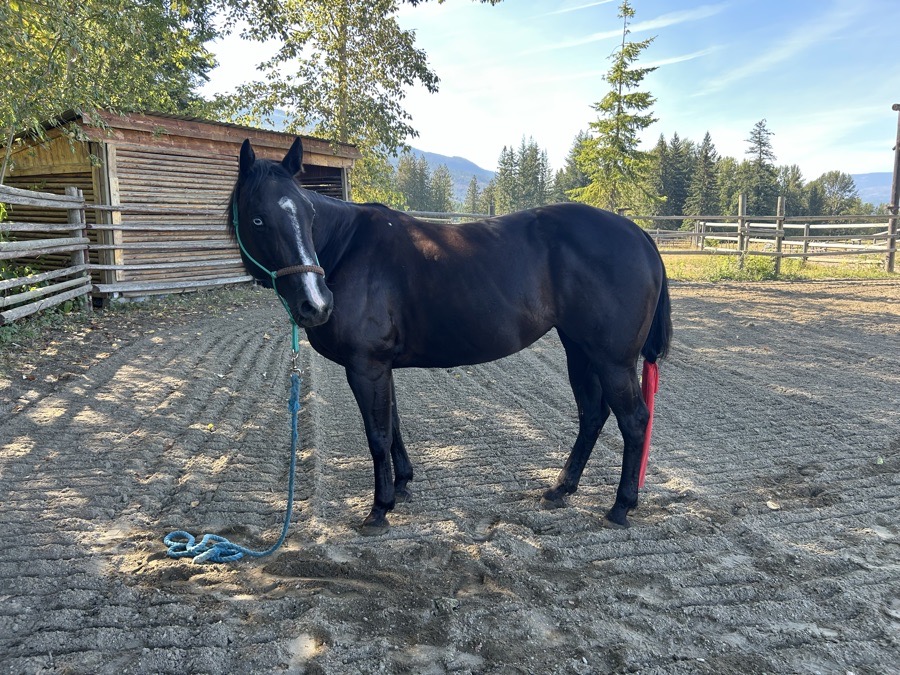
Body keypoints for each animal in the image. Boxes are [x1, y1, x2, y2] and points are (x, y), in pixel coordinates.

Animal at [227, 137, 672, 535]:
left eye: (308, 216)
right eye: (258, 219)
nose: (316, 304)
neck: (348, 248)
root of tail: (638, 234)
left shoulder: (366, 367)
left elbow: (377, 435)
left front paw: (379, 509)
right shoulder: (381, 367)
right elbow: (393, 425)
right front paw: (403, 484)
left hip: (612, 360)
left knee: (634, 420)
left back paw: (620, 506)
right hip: (579, 350)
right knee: (592, 415)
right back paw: (561, 488)